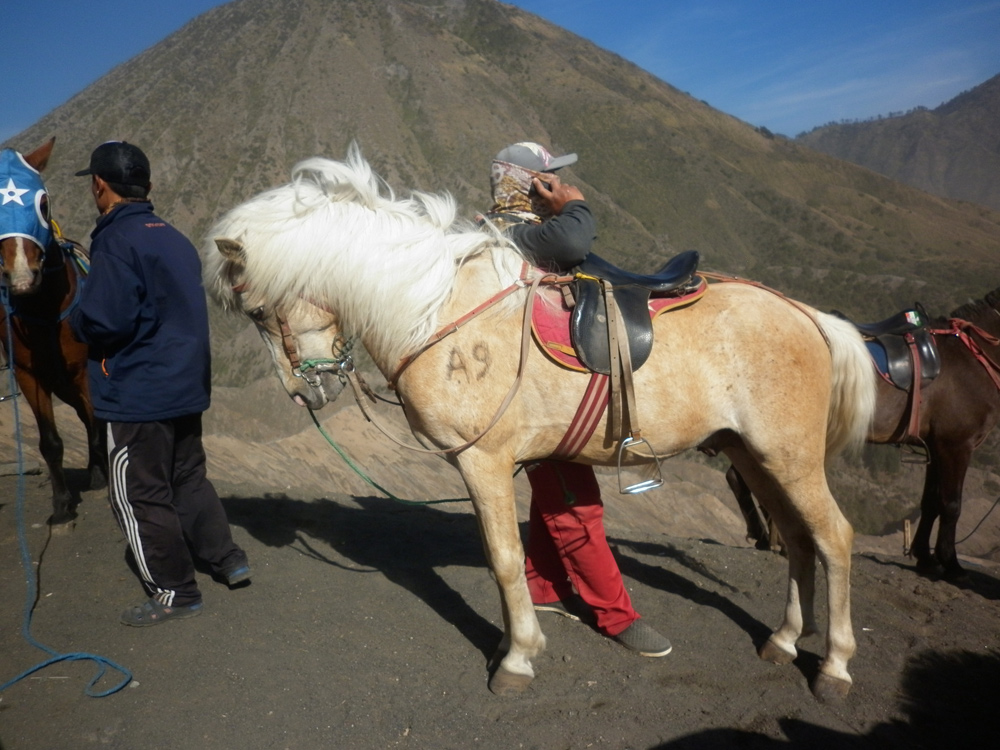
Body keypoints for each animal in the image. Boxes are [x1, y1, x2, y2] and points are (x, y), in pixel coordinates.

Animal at [0, 140, 107, 524]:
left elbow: (97, 428)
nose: (21, 276)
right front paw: (61, 504)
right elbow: (50, 442)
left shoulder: (87, 372)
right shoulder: (30, 376)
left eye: (43, 204)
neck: (45, 313)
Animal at [728, 290, 1000, 584]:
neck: (969, 359)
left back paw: (767, 537)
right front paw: (951, 564)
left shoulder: (936, 446)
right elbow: (951, 505)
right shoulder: (956, 445)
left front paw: (925, 558)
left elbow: (930, 503)